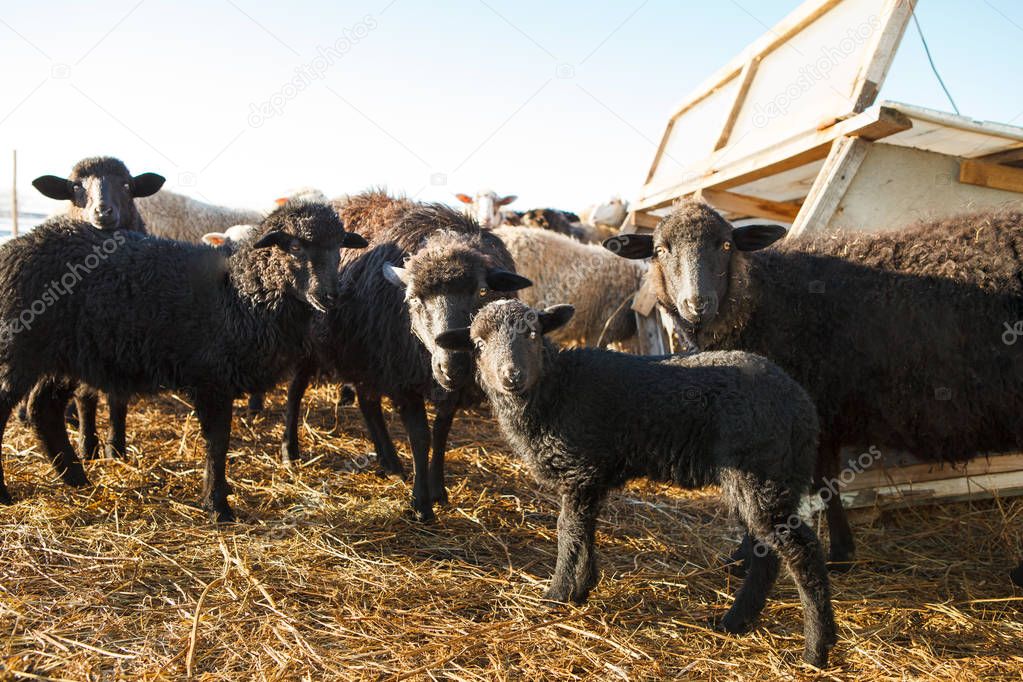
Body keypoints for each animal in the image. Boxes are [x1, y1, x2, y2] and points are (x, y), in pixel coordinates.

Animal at [0, 202, 367, 521]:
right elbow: (217, 443)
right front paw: (218, 506)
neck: (239, 293)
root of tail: (13, 248)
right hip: (16, 348)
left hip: (62, 356)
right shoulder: (211, 380)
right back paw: (11, 493)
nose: (329, 296)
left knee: (43, 408)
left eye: (339, 246)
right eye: (293, 245)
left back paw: (75, 478)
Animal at [31, 156, 166, 459]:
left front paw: (116, 448)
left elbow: (118, 398)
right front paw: (87, 446)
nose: (103, 212)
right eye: (75, 187)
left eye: (127, 186)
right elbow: (85, 395)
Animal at [281, 191, 531, 521]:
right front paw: (421, 504)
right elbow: (420, 437)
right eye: (413, 299)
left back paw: (389, 461)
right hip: (314, 346)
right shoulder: (403, 379)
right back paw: (290, 450)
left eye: (481, 292)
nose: (452, 365)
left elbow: (440, 432)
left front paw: (438, 490)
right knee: (296, 390)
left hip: (364, 354)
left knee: (368, 403)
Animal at [434, 300, 836, 667]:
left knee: (802, 553)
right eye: (479, 343)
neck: (557, 389)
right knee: (766, 553)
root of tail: (803, 407)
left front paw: (557, 595)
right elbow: (585, 530)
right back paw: (737, 621)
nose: (511, 376)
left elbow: (568, 530)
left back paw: (816, 648)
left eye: (533, 334)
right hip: (761, 480)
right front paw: (582, 588)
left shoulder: (578, 468)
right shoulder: (589, 475)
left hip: (762, 474)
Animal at [604, 201, 1023, 570]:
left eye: (725, 245)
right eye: (661, 249)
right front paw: (836, 552)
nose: (698, 303)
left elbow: (803, 486)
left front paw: (757, 557)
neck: (761, 300)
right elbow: (824, 484)